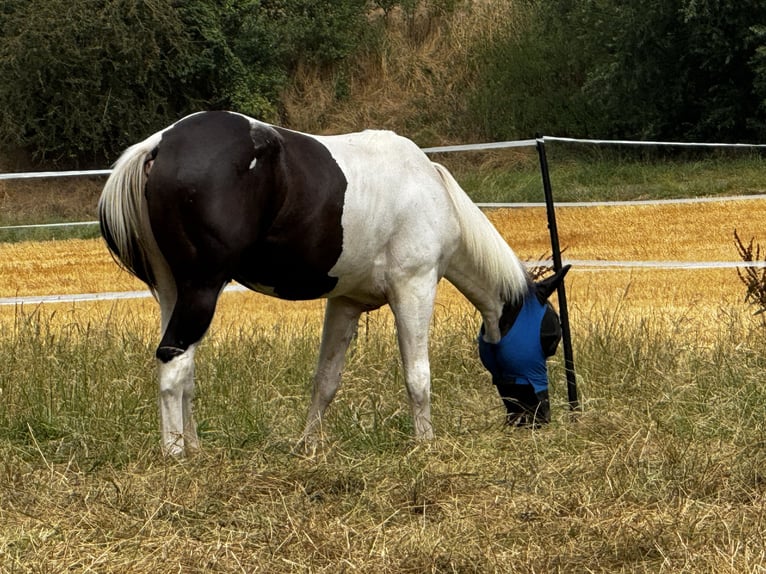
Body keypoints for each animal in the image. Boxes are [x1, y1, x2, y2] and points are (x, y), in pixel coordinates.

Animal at [98, 110, 558, 456]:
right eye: (550, 338)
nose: (538, 418)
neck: (429, 188)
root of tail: (159, 145)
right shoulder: (415, 288)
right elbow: (418, 376)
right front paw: (425, 444)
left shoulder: (345, 303)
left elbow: (326, 380)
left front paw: (308, 445)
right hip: (202, 287)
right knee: (174, 364)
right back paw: (175, 454)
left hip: (173, 291)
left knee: (184, 370)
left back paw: (192, 446)